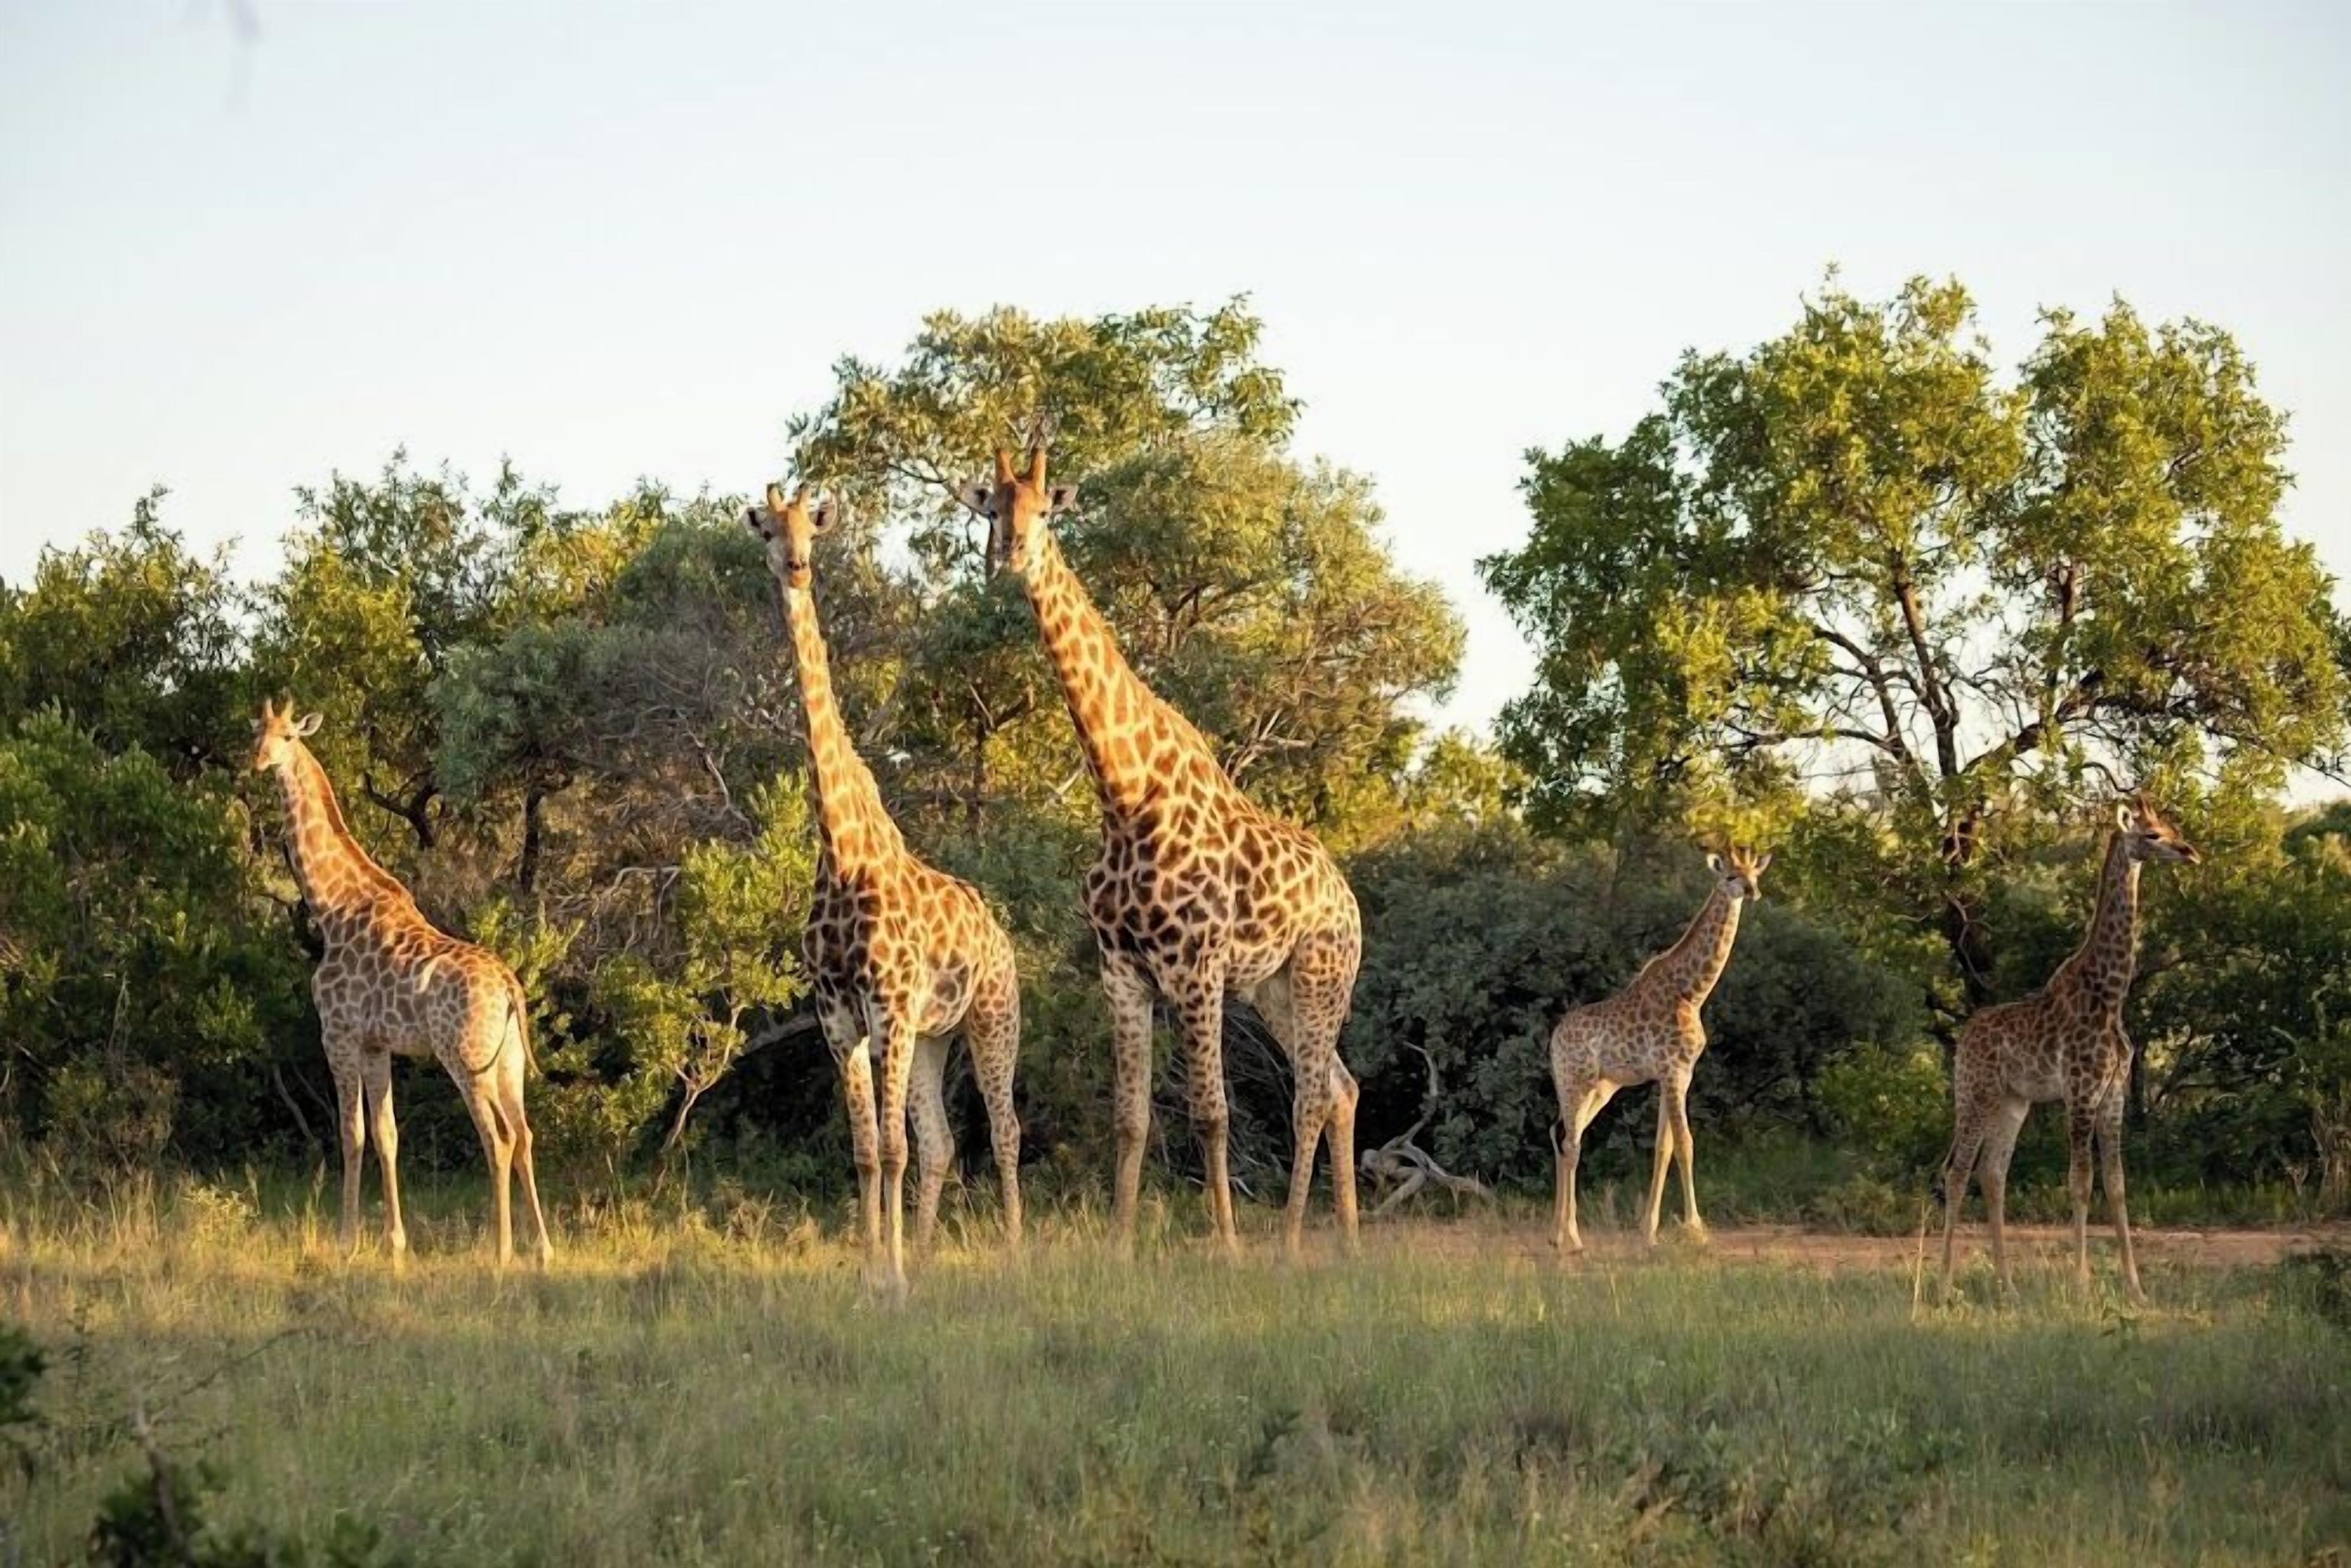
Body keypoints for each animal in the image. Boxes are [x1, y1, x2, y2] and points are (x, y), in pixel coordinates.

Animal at [250, 699, 552, 1267]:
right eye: (256, 732)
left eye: (288, 736)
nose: (258, 761)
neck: (332, 907)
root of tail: (509, 986)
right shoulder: (377, 1043)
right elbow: (387, 1134)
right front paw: (395, 1244)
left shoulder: (338, 1034)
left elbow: (351, 1133)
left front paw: (346, 1241)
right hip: (508, 1061)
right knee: (524, 1134)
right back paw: (543, 1249)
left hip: (464, 1058)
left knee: (498, 1137)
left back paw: (500, 1251)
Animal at [744, 483, 1023, 1294]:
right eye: (767, 531)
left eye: (813, 531)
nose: (797, 567)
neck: (841, 850)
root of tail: (1001, 934)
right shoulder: (840, 1017)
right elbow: (869, 1151)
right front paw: (873, 1271)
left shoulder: (888, 1007)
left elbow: (892, 1149)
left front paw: (890, 1280)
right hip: (934, 1037)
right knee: (942, 1141)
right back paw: (928, 1259)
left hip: (991, 1015)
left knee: (1004, 1128)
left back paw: (1016, 1253)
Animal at [960, 443, 1361, 1258]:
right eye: (993, 509)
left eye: (1045, 508)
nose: (1010, 556)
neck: (1124, 795)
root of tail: (1350, 899)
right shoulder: (1123, 970)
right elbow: (1131, 1117)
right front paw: (1118, 1245)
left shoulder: (1195, 967)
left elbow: (1209, 1111)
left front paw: (1230, 1247)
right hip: (1272, 988)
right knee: (1340, 1086)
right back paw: (1348, 1239)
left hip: (1321, 973)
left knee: (1311, 1094)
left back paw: (1289, 1242)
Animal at [1549, 844, 1768, 1254]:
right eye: (1731, 875)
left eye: (1755, 874)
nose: (1752, 892)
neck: (1692, 992)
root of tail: (1553, 1041)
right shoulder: (1673, 1070)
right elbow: (1685, 1143)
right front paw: (1696, 1228)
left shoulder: (1678, 1074)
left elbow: (1663, 1148)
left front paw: (1648, 1231)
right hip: (1576, 1082)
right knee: (1571, 1143)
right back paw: (1572, 1238)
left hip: (1602, 1087)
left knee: (1564, 1137)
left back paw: (1556, 1235)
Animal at [1938, 795, 2200, 1304]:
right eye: (2152, 834)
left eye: (2171, 826)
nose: (2191, 852)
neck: (2111, 993)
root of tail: (1964, 1040)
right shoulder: (2081, 1093)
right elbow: (2081, 1182)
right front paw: (2081, 1286)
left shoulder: (2113, 1096)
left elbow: (2116, 1185)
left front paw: (2136, 1290)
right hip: (1975, 1094)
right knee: (1958, 1172)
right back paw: (1941, 1287)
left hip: (2013, 1102)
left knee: (1992, 1174)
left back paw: (2008, 1287)